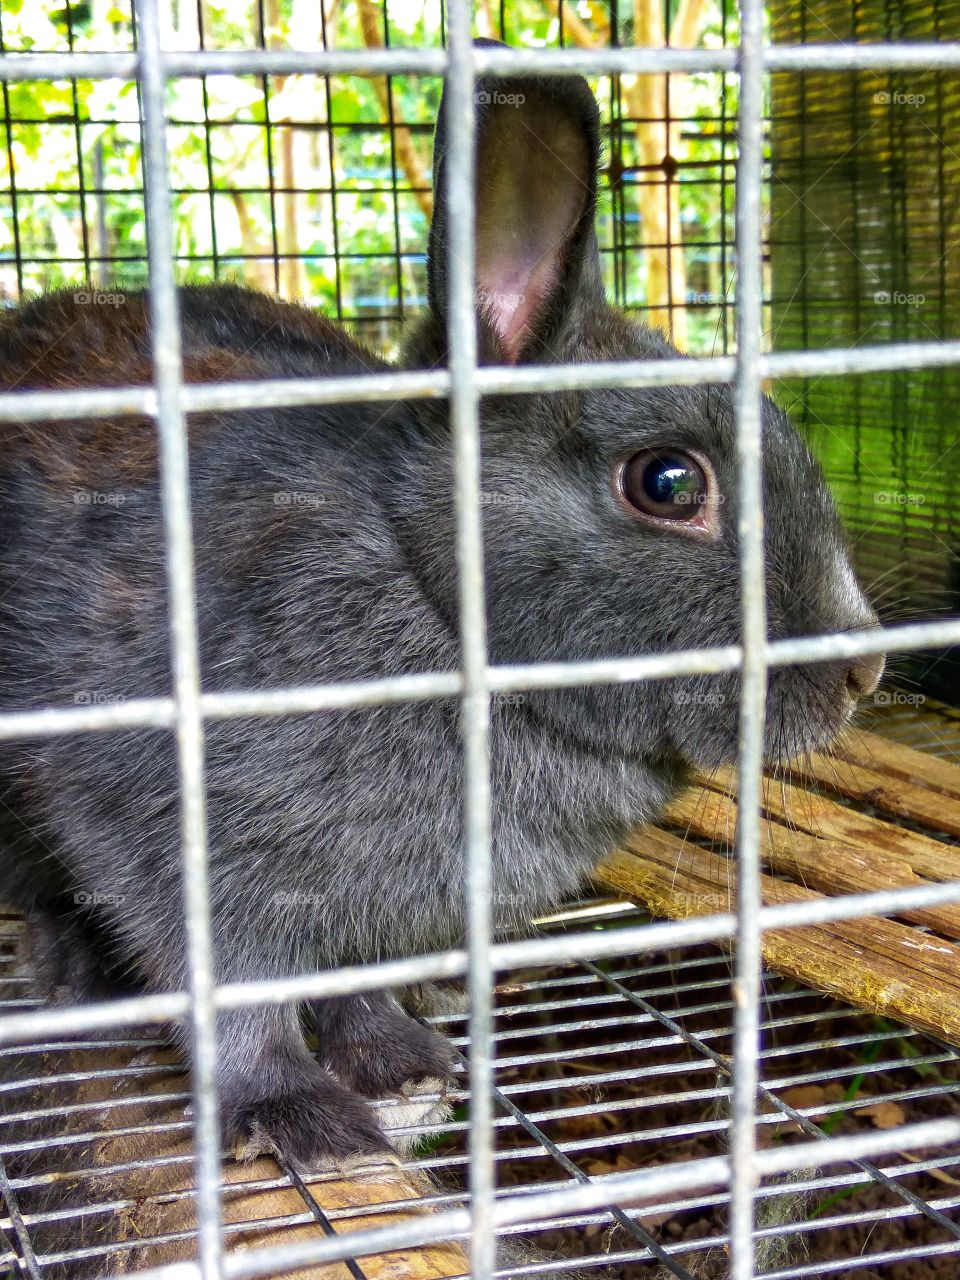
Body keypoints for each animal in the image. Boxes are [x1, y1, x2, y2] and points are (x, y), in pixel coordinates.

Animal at [0, 58, 884, 1171]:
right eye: (669, 481)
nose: (863, 672)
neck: (441, 608)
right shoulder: (159, 834)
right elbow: (232, 995)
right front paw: (306, 1118)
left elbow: (352, 982)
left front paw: (400, 1062)